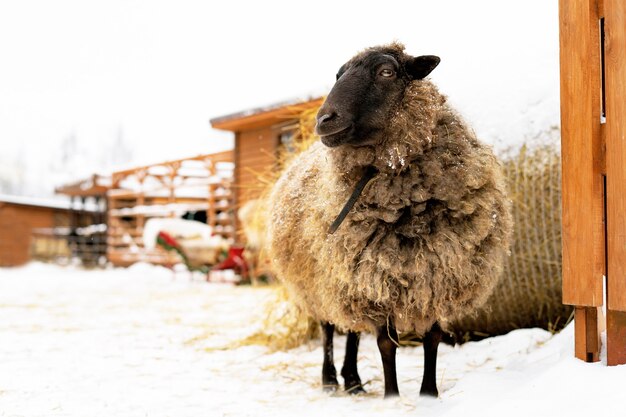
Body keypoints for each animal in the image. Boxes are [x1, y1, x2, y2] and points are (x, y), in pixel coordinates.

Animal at [266, 42, 510, 396]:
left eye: (387, 72)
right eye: (337, 75)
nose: (324, 119)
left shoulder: (436, 274)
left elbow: (432, 338)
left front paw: (429, 394)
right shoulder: (375, 279)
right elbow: (385, 344)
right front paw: (392, 395)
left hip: (345, 281)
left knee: (351, 329)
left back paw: (353, 381)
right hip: (319, 279)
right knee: (328, 328)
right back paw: (330, 380)